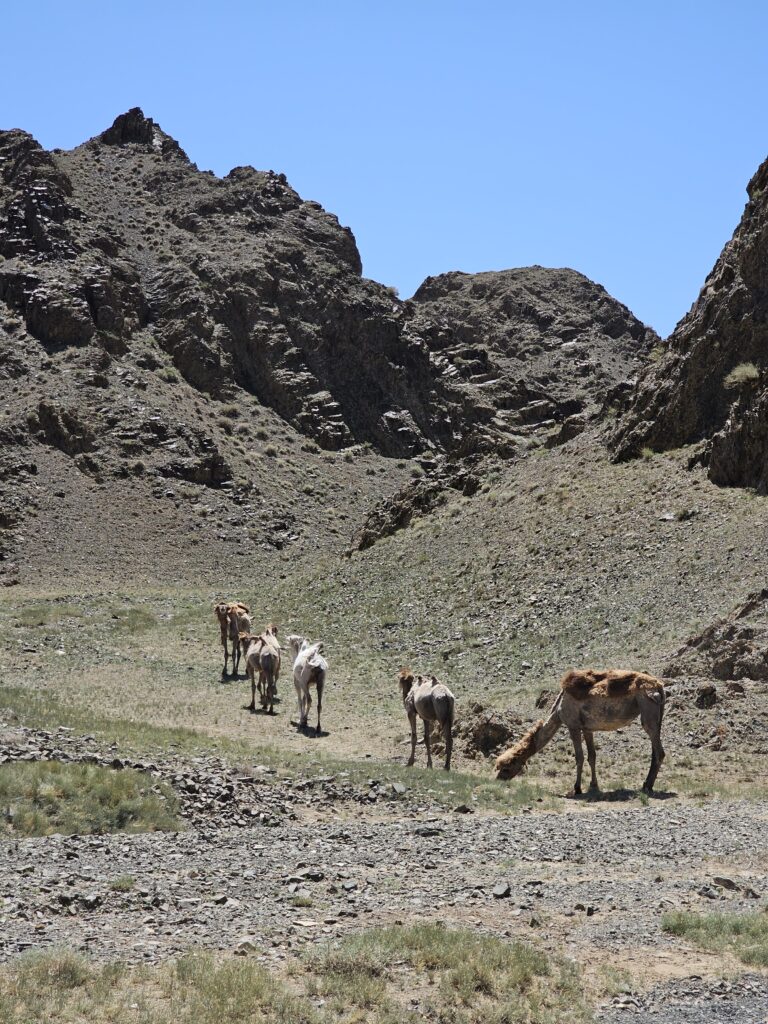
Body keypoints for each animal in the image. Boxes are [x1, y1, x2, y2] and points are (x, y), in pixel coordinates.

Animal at [493, 667, 667, 794]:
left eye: (506, 768)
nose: (497, 780)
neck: (558, 710)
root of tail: (659, 686)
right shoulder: (587, 728)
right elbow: (592, 756)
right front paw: (593, 786)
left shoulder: (573, 726)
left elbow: (579, 757)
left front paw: (576, 788)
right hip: (656, 715)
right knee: (655, 749)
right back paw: (646, 784)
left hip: (647, 707)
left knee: (658, 750)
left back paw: (647, 786)